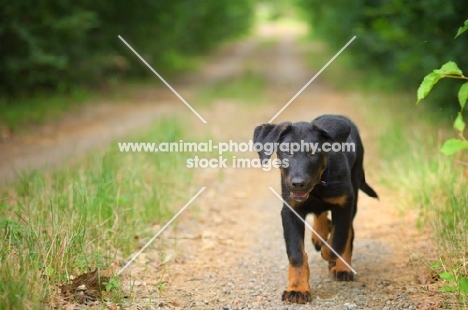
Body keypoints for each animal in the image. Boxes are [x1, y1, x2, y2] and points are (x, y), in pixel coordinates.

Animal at [252, 114, 376, 302]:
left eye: (314, 153)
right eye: (287, 151)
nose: (298, 184)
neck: (317, 187)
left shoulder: (344, 204)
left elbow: (338, 240)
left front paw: (329, 255)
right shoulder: (290, 211)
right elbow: (296, 254)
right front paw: (297, 289)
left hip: (354, 190)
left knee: (349, 232)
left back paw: (342, 267)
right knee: (322, 214)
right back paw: (321, 234)